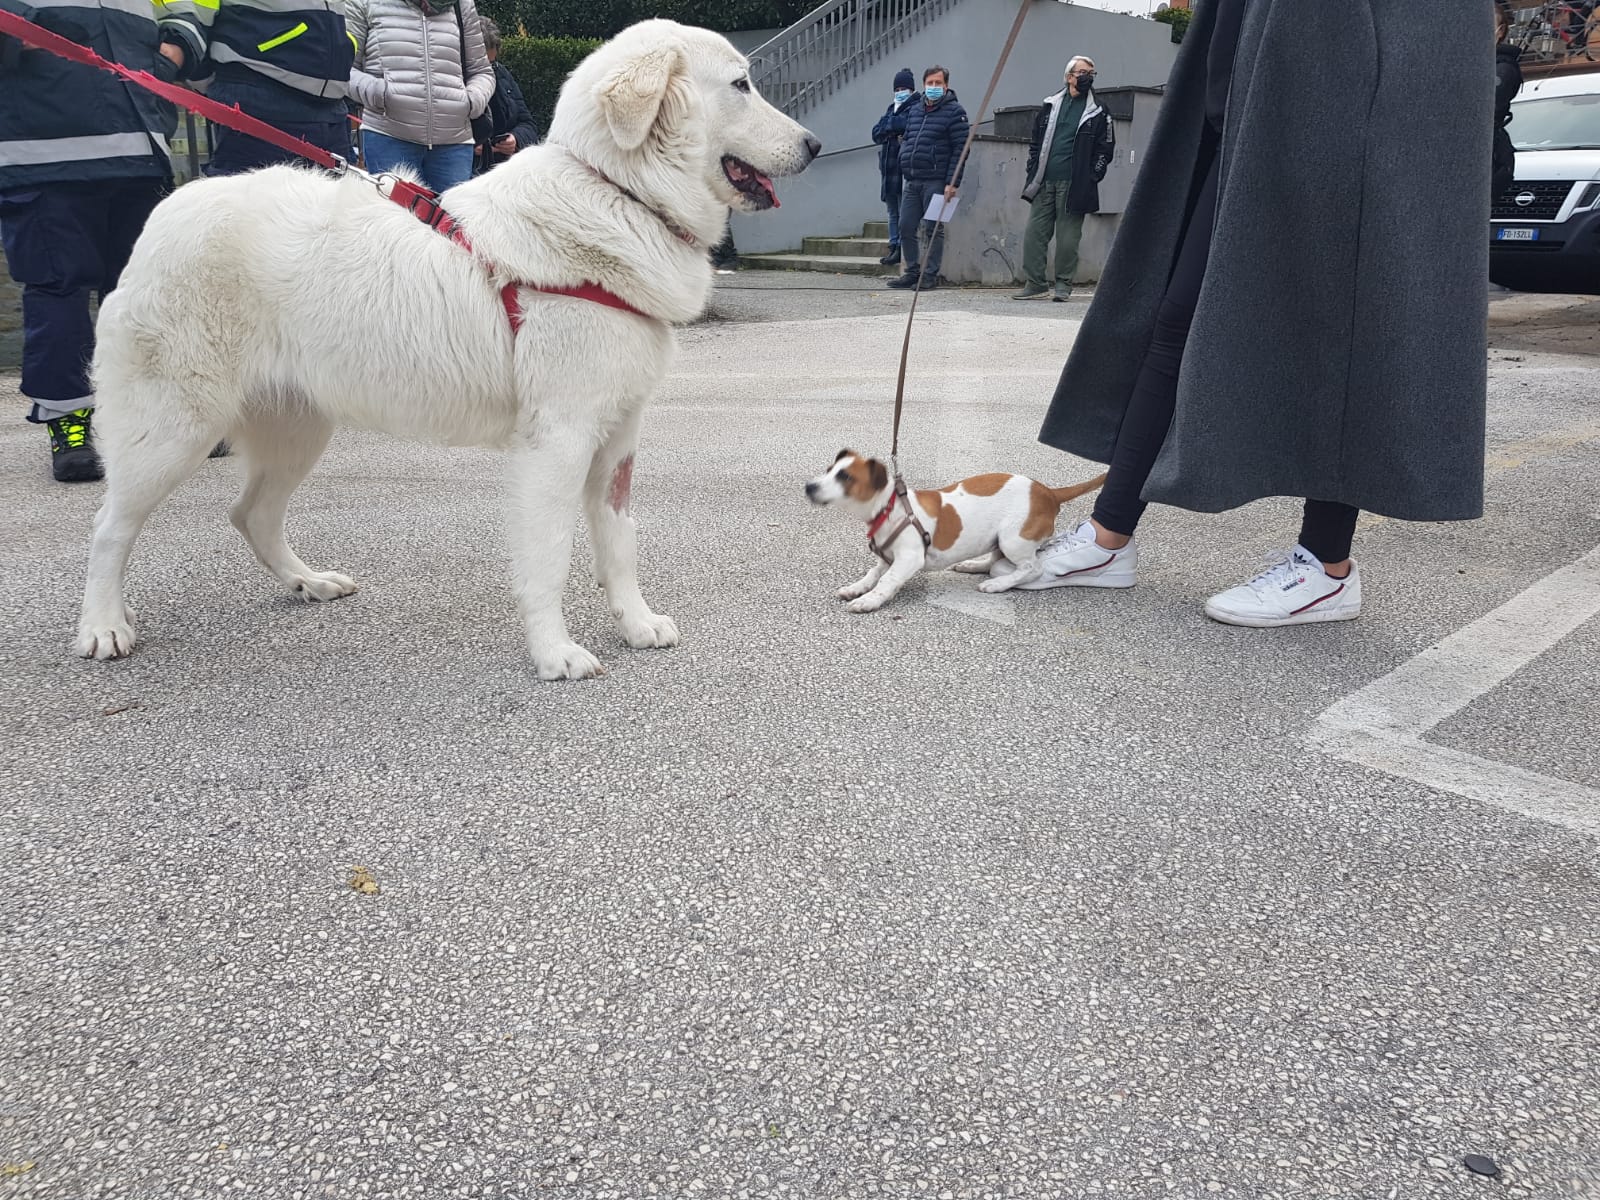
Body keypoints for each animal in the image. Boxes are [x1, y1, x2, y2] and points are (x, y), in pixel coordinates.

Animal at [72, 18, 812, 681]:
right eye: (741, 84)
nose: (814, 144)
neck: (616, 193)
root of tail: (170, 210)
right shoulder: (558, 442)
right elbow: (550, 556)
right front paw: (554, 654)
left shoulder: (618, 439)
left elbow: (618, 543)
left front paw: (635, 623)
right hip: (173, 432)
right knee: (110, 528)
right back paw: (104, 625)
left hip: (298, 430)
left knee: (249, 513)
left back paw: (308, 582)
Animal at [806, 454, 1107, 614]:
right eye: (828, 471)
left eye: (845, 477)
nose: (809, 487)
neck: (889, 507)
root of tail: (1049, 493)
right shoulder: (886, 558)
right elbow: (873, 574)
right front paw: (857, 588)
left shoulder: (908, 558)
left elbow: (887, 580)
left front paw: (869, 600)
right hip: (999, 538)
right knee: (995, 559)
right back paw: (973, 566)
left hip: (1014, 539)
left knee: (1032, 568)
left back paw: (998, 584)